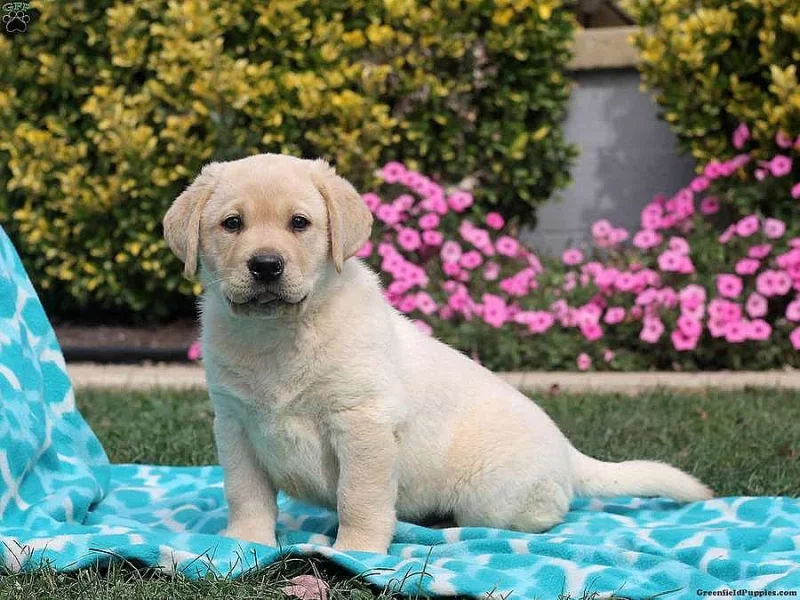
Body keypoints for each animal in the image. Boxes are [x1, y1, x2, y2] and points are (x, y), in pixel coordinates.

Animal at [164, 155, 712, 552]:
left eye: (299, 223)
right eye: (232, 224)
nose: (265, 266)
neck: (279, 334)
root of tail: (569, 452)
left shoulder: (363, 422)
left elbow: (359, 497)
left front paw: (356, 551)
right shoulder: (235, 424)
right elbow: (246, 494)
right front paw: (244, 545)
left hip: (493, 498)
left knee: (548, 513)